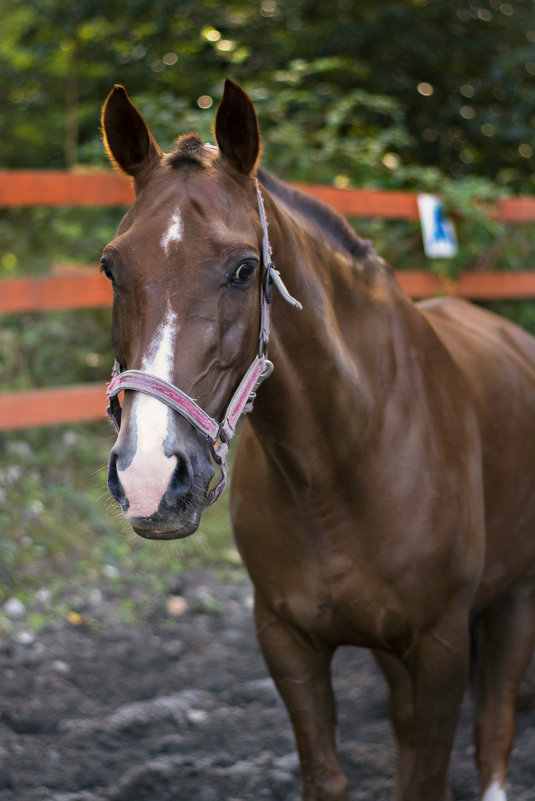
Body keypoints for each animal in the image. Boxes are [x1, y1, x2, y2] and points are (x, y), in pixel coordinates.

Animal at [100, 76, 535, 800]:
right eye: (110, 267)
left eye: (245, 268)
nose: (150, 478)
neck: (341, 464)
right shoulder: (288, 641)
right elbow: (330, 776)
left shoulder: (440, 646)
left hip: (513, 597)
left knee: (495, 727)